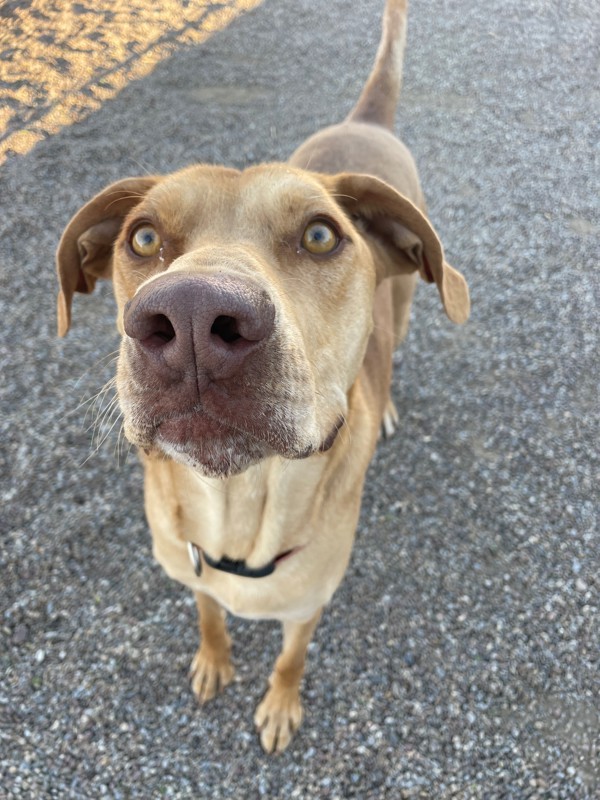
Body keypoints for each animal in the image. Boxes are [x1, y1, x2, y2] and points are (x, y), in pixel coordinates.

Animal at [56, 0, 468, 752]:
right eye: (143, 237)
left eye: (321, 235)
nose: (191, 317)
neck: (238, 510)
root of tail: (365, 121)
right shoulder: (192, 573)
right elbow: (209, 616)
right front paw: (214, 658)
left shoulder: (307, 606)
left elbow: (290, 659)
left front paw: (279, 704)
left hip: (408, 303)